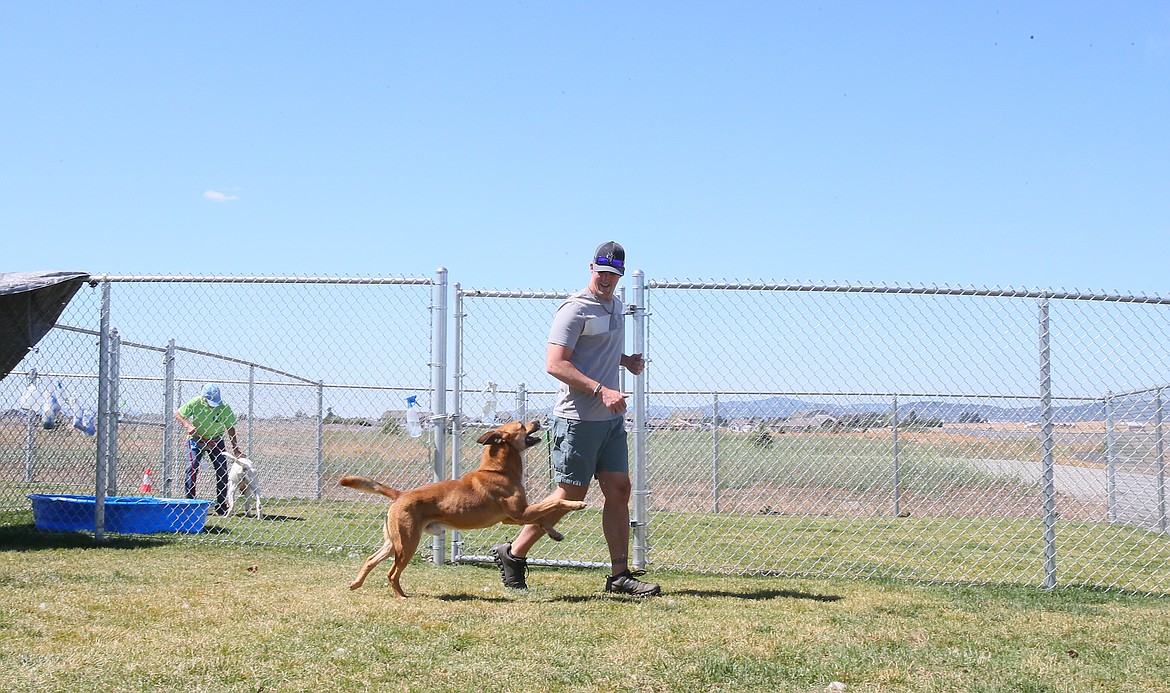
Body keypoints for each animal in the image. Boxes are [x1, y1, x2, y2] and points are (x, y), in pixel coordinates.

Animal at [339, 419, 585, 599]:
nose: (537, 418)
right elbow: (554, 504)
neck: (498, 471)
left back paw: (355, 583)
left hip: (394, 542)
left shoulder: (515, 517)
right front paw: (576, 504)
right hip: (407, 544)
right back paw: (401, 596)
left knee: (371, 559)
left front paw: (554, 533)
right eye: (521, 425)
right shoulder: (521, 513)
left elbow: (543, 519)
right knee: (391, 573)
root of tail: (400, 494)